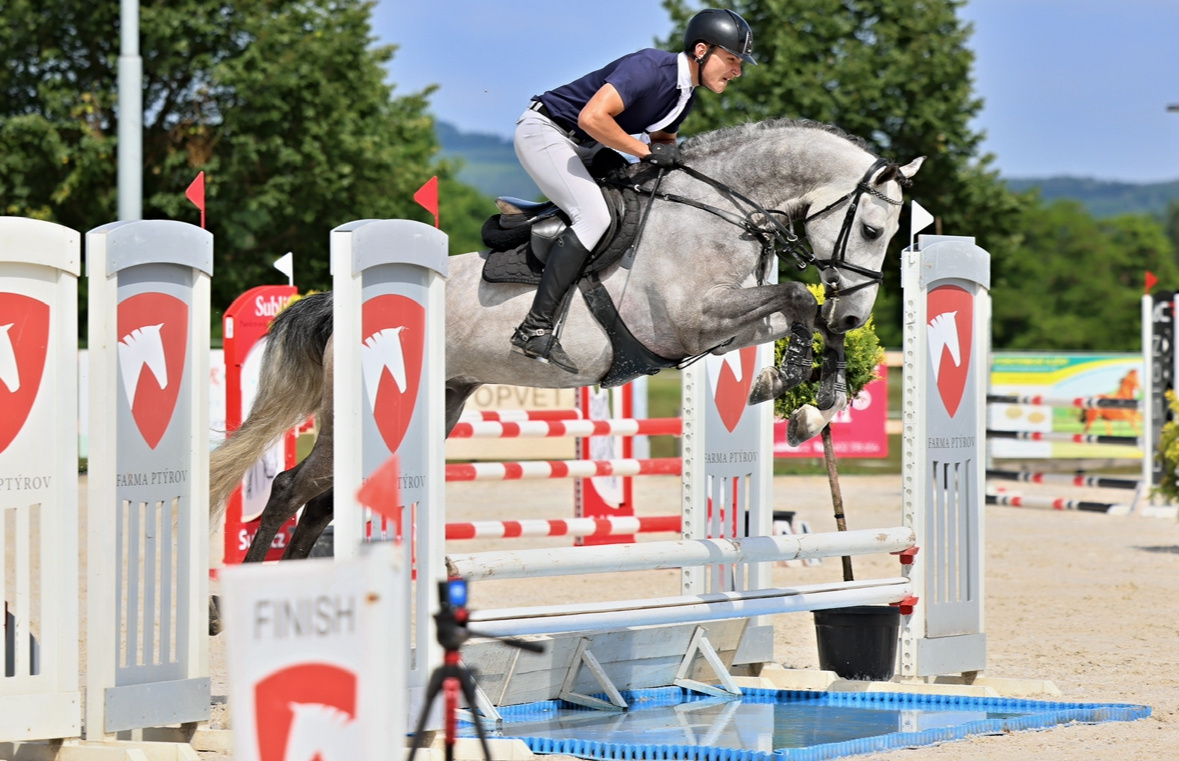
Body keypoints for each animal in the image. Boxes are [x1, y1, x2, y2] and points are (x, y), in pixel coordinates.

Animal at [208, 118, 922, 572]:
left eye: (896, 233)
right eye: (873, 227)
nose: (856, 313)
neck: (719, 211)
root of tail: (337, 306)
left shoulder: (723, 330)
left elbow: (796, 316)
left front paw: (807, 402)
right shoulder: (689, 321)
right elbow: (799, 298)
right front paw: (799, 384)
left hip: (439, 405)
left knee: (322, 502)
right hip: (345, 419)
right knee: (290, 488)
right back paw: (243, 591)